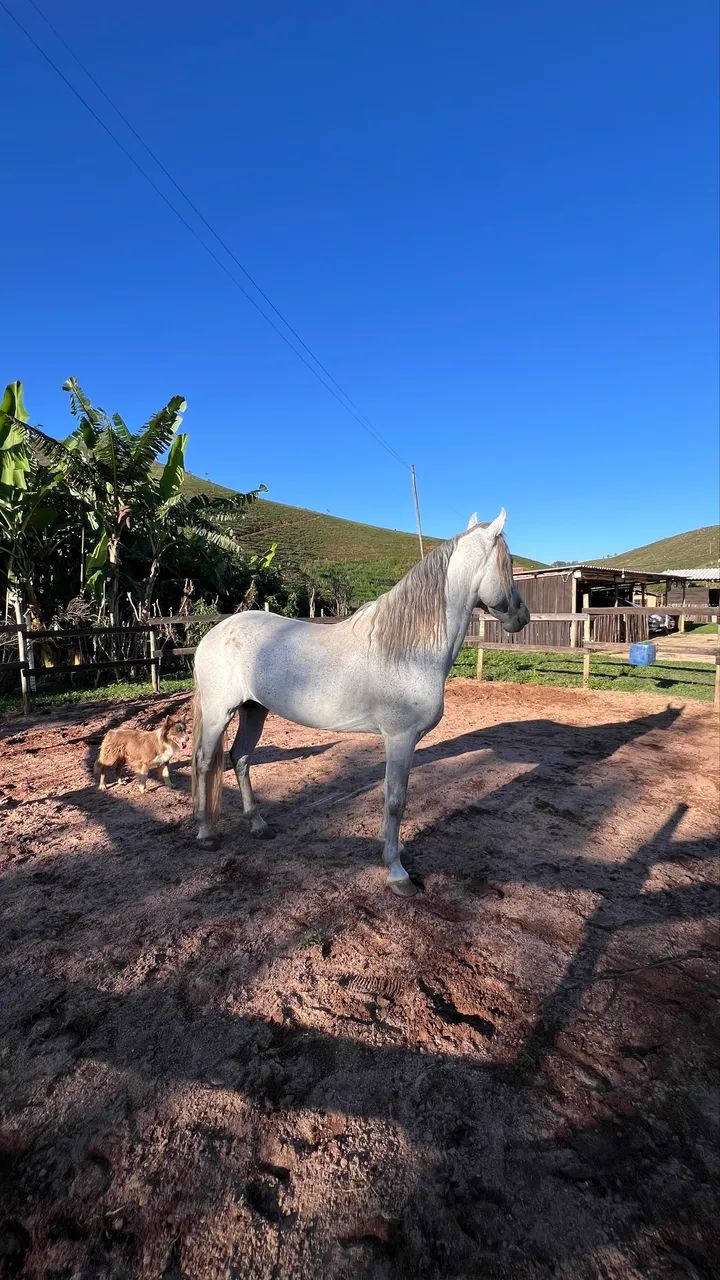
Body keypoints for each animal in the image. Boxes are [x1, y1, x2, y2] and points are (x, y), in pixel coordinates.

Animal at [191, 508, 530, 896]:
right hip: (219, 714)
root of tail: (214, 633)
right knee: (205, 762)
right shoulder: (399, 738)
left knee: (241, 758)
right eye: (509, 563)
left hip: (254, 711)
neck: (409, 649)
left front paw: (396, 849)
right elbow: (395, 800)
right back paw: (205, 832)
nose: (522, 616)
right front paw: (397, 873)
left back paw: (258, 825)